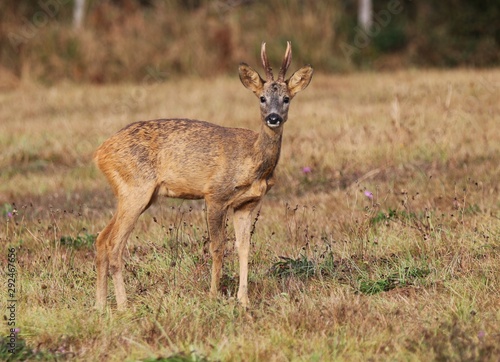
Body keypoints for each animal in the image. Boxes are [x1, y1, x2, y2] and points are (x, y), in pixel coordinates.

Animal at [94, 41, 312, 310]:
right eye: (262, 98)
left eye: (286, 98)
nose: (274, 118)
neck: (252, 162)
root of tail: (100, 153)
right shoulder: (215, 194)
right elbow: (217, 247)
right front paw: (213, 295)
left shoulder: (247, 203)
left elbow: (244, 247)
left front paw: (244, 300)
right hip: (135, 188)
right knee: (114, 243)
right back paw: (123, 306)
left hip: (134, 194)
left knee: (101, 238)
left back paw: (100, 305)